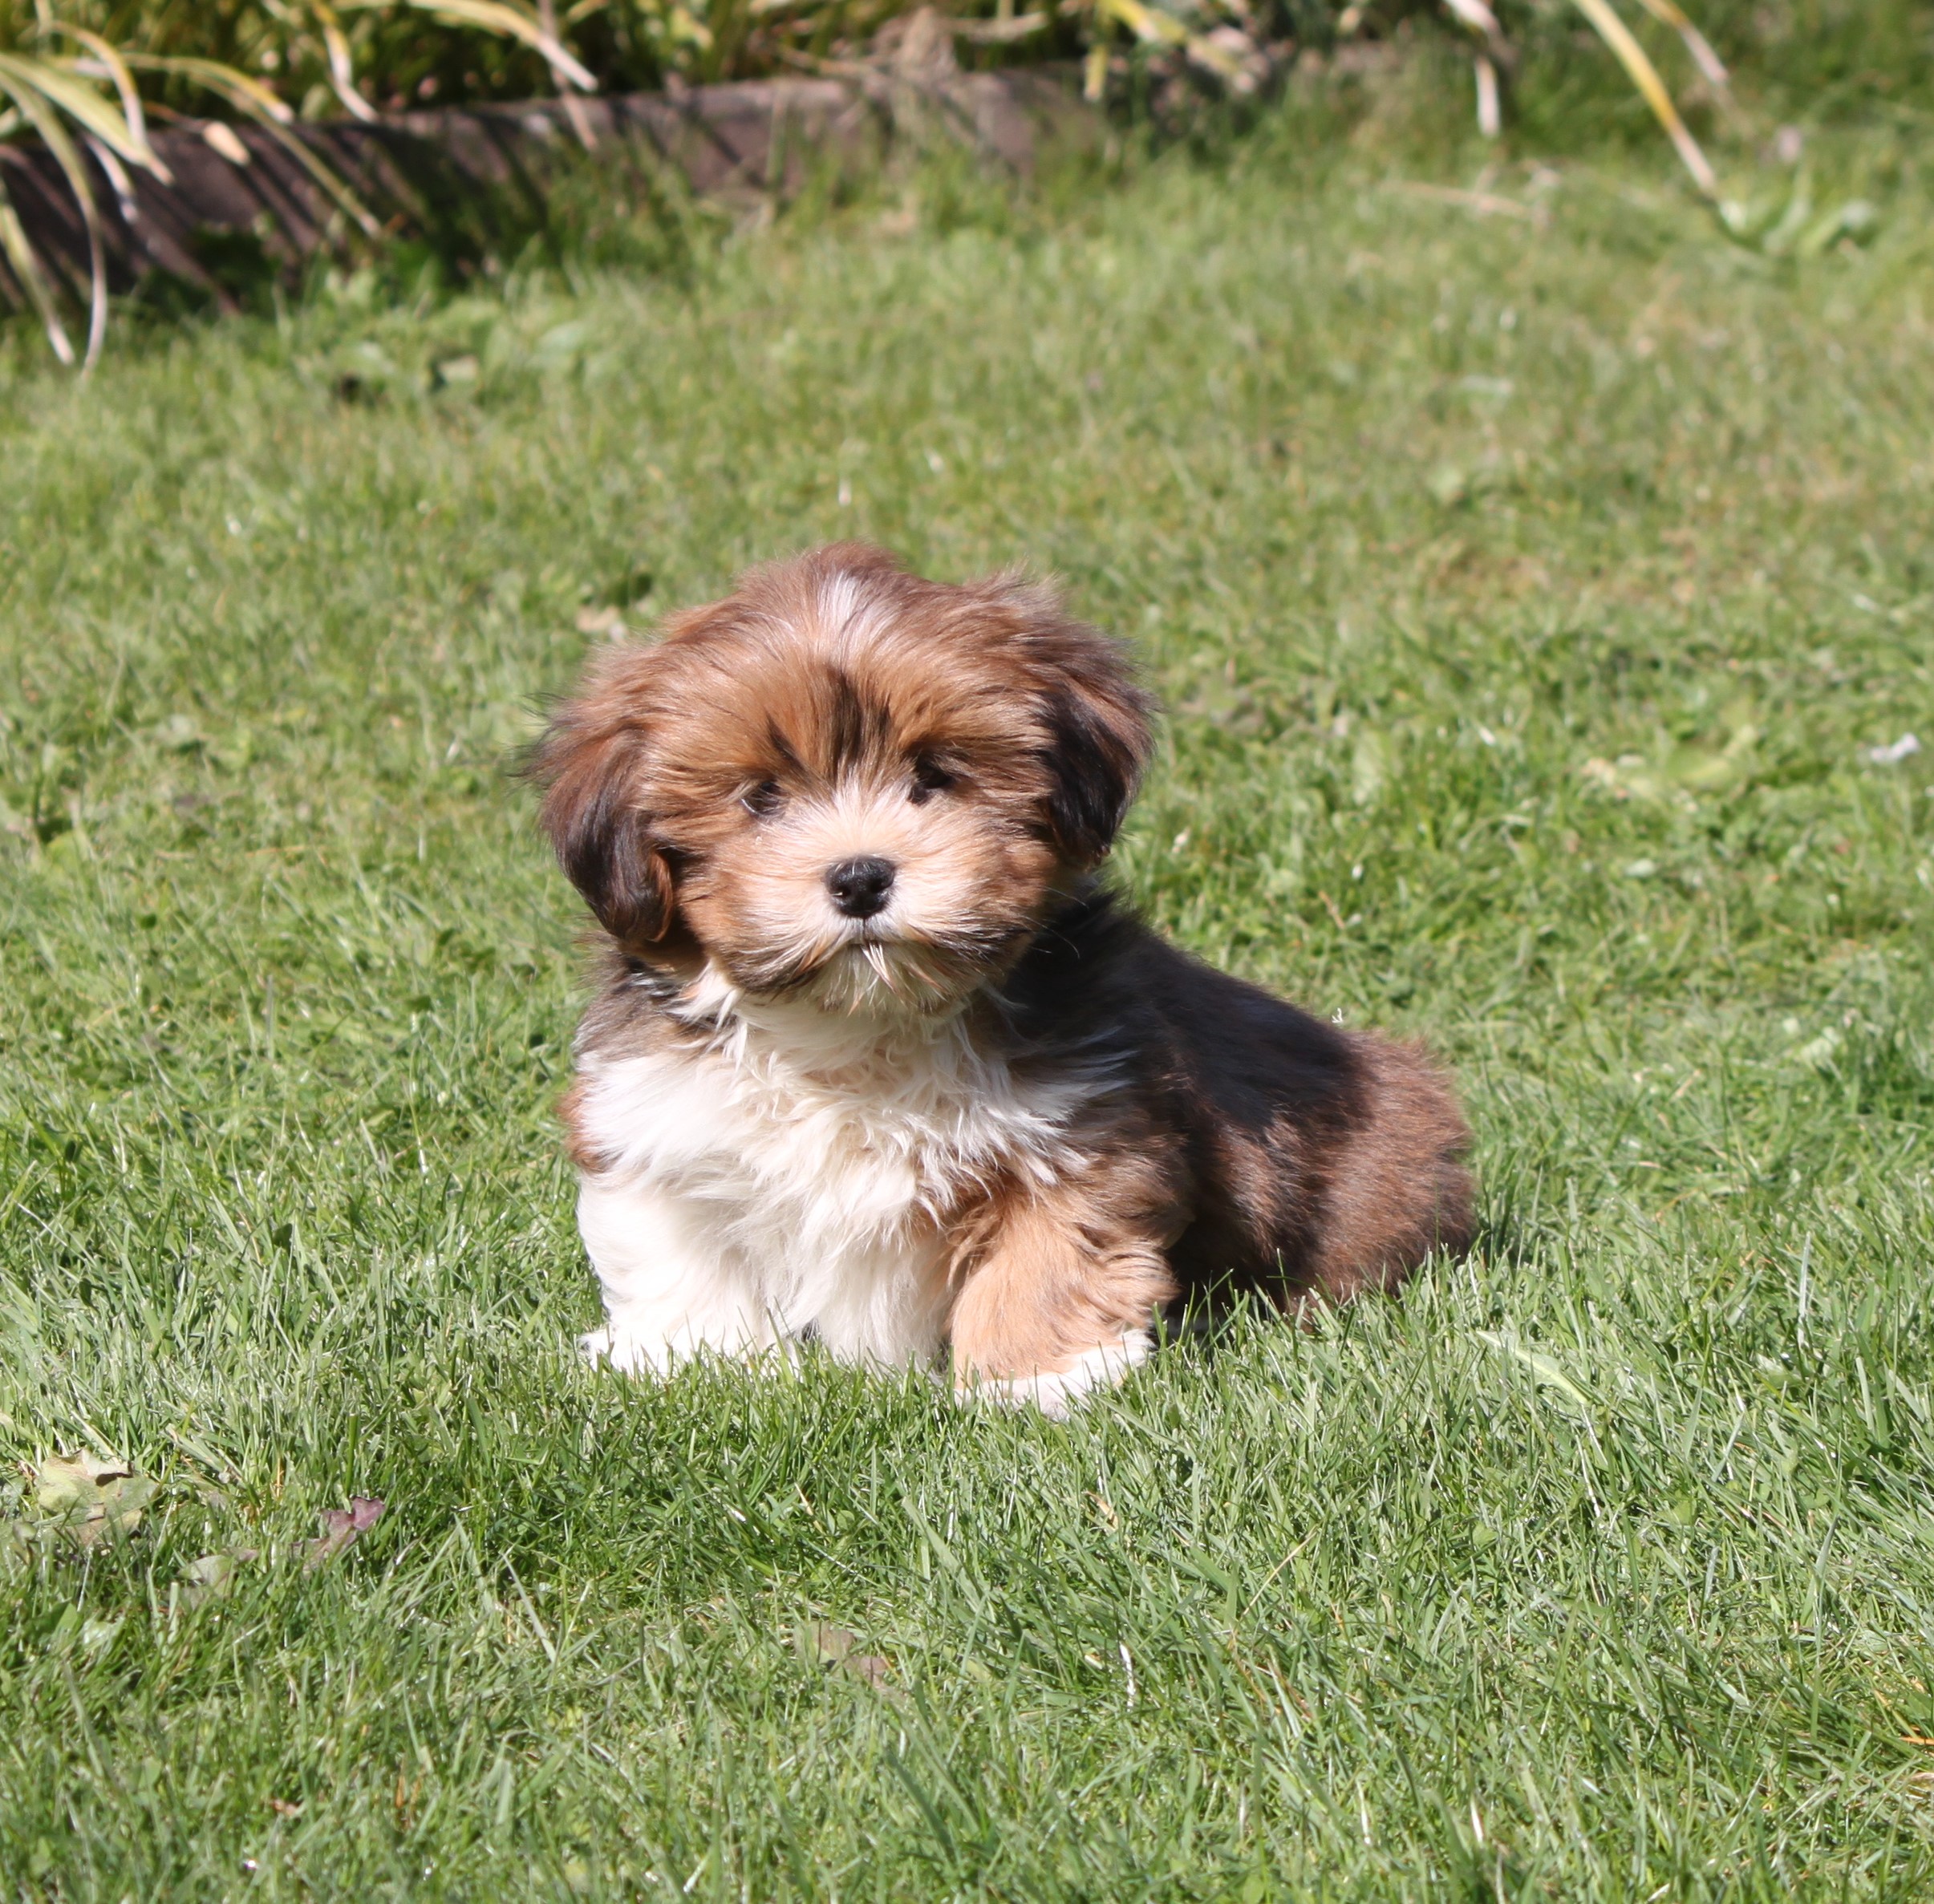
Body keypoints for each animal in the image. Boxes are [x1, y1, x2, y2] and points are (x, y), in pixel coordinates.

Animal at [529, 541, 1462, 1407]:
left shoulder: (1080, 1127)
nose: (859, 877)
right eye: (761, 798)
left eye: (934, 776)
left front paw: (1038, 1379)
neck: (856, 1027)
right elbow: (677, 1250)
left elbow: (1049, 1252)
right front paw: (693, 1362)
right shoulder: (655, 1122)